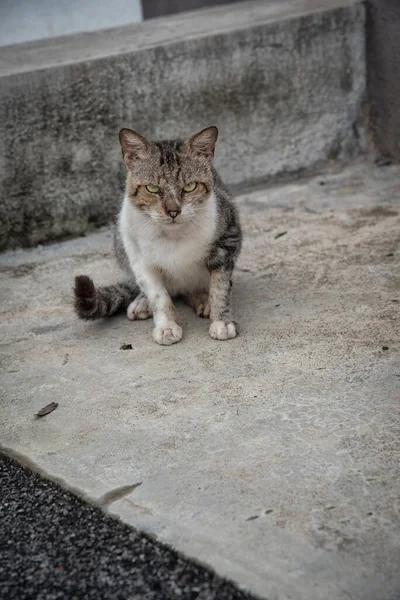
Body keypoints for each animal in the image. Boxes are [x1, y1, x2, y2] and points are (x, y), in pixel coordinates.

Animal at [73, 124, 242, 344]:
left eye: (190, 186)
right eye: (153, 188)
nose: (173, 211)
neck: (173, 236)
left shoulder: (228, 239)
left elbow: (220, 287)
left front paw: (222, 320)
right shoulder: (138, 258)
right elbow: (159, 296)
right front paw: (166, 326)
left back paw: (203, 300)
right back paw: (142, 302)